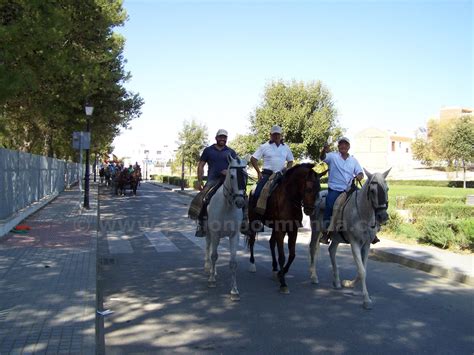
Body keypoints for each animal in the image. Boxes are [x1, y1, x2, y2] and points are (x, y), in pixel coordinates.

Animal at [204, 157, 248, 302]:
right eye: (232, 176)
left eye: (246, 176)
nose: (240, 202)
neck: (227, 206)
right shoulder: (215, 233)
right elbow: (214, 255)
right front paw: (211, 280)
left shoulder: (234, 235)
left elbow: (233, 263)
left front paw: (234, 290)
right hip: (208, 232)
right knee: (208, 247)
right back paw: (209, 268)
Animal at [246, 164, 320, 294]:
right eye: (308, 189)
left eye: (319, 190)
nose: (309, 210)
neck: (289, 199)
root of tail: (252, 189)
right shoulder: (280, 229)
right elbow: (282, 256)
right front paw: (283, 284)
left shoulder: (293, 230)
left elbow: (292, 255)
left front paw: (281, 273)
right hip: (254, 222)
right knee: (252, 241)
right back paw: (252, 264)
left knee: (271, 243)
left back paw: (275, 268)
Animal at [308, 168, 388, 310]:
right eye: (373, 191)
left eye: (387, 189)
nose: (383, 216)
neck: (362, 214)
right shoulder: (354, 243)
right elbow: (362, 271)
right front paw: (366, 300)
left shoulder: (366, 245)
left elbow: (363, 269)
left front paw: (348, 283)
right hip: (316, 230)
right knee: (313, 248)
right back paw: (314, 276)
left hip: (336, 237)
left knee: (331, 250)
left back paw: (337, 281)